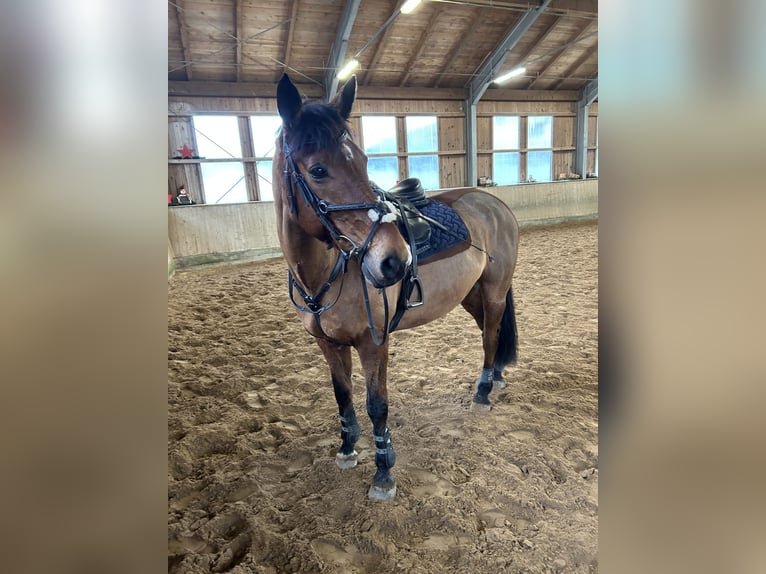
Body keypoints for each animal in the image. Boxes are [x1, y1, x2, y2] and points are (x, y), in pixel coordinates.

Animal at [273, 73, 519, 501]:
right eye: (317, 169)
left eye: (364, 161)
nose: (394, 260)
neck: (327, 272)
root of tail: (495, 204)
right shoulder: (329, 344)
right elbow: (343, 396)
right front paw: (347, 448)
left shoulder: (374, 343)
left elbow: (377, 405)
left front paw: (384, 471)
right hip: (472, 296)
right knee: (491, 333)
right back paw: (498, 377)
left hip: (493, 290)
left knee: (489, 338)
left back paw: (483, 392)